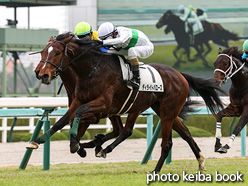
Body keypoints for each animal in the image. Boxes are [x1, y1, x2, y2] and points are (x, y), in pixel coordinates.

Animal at [28, 32, 223, 173]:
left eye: (57, 52)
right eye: (43, 51)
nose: (41, 74)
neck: (92, 69)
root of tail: (180, 75)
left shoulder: (103, 105)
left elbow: (79, 116)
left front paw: (78, 145)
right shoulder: (80, 101)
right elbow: (62, 121)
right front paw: (36, 141)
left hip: (162, 111)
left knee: (160, 141)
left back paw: (154, 170)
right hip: (164, 110)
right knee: (186, 134)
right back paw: (200, 162)